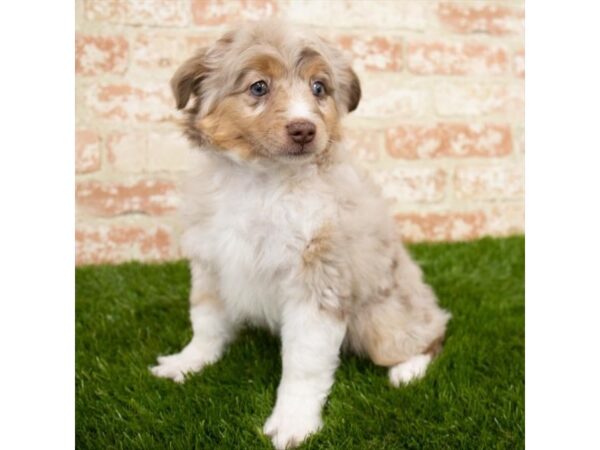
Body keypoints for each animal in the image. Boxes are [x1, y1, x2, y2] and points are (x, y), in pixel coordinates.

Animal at [150, 19, 450, 448]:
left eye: (319, 88)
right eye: (259, 87)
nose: (304, 130)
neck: (262, 181)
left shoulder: (318, 281)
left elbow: (304, 364)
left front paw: (292, 423)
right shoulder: (211, 263)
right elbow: (205, 323)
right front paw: (188, 363)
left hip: (382, 320)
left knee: (430, 334)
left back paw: (406, 372)